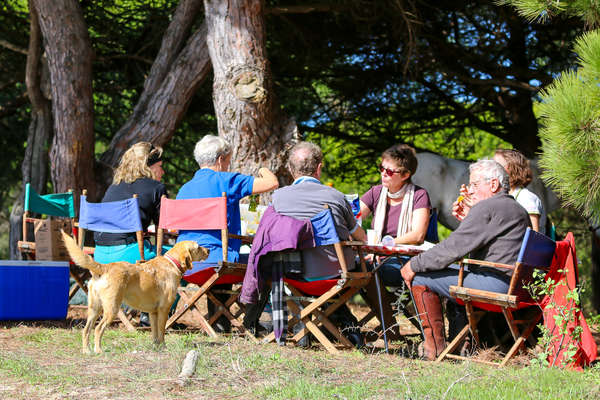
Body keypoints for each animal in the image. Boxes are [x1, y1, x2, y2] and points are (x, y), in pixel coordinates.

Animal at [61, 231, 210, 354]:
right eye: (198, 247)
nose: (208, 249)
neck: (172, 263)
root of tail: (104, 267)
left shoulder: (153, 313)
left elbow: (155, 334)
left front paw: (156, 347)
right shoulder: (163, 310)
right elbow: (162, 332)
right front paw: (163, 347)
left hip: (94, 309)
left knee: (86, 330)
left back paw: (87, 350)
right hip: (111, 309)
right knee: (98, 329)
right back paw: (99, 350)